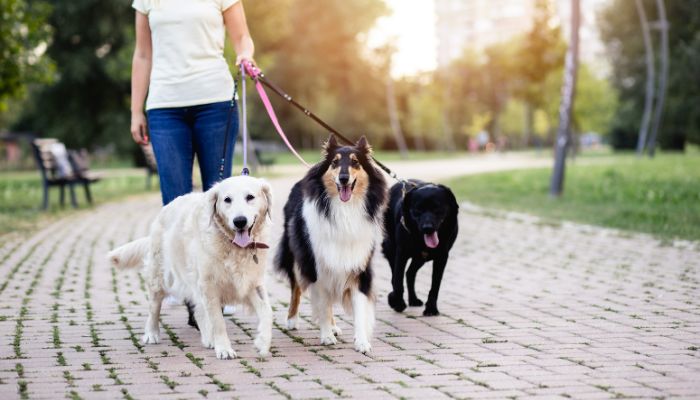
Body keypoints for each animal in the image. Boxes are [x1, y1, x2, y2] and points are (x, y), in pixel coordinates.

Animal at [108, 175, 274, 360]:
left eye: (250, 197)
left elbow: (268, 312)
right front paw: (224, 348)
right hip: (160, 277)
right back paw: (152, 334)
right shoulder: (209, 285)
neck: (234, 247)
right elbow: (218, 321)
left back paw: (208, 338)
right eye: (227, 199)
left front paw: (262, 342)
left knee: (198, 311)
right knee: (154, 308)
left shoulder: (251, 282)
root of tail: (166, 207)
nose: (239, 221)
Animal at [274, 135, 388, 354]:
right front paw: (326, 336)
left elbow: (359, 308)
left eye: (355, 162)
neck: (345, 211)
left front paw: (362, 342)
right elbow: (323, 303)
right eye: (334, 163)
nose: (343, 178)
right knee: (296, 288)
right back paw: (292, 320)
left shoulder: (358, 267)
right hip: (296, 255)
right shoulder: (317, 266)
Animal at [382, 180, 460, 316]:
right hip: (392, 248)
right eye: (418, 209)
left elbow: (435, 286)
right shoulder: (401, 253)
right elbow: (397, 280)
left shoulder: (442, 258)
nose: (427, 228)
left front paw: (431, 309)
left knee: (410, 273)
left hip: (421, 258)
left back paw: (413, 299)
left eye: (437, 208)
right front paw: (397, 302)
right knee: (396, 276)